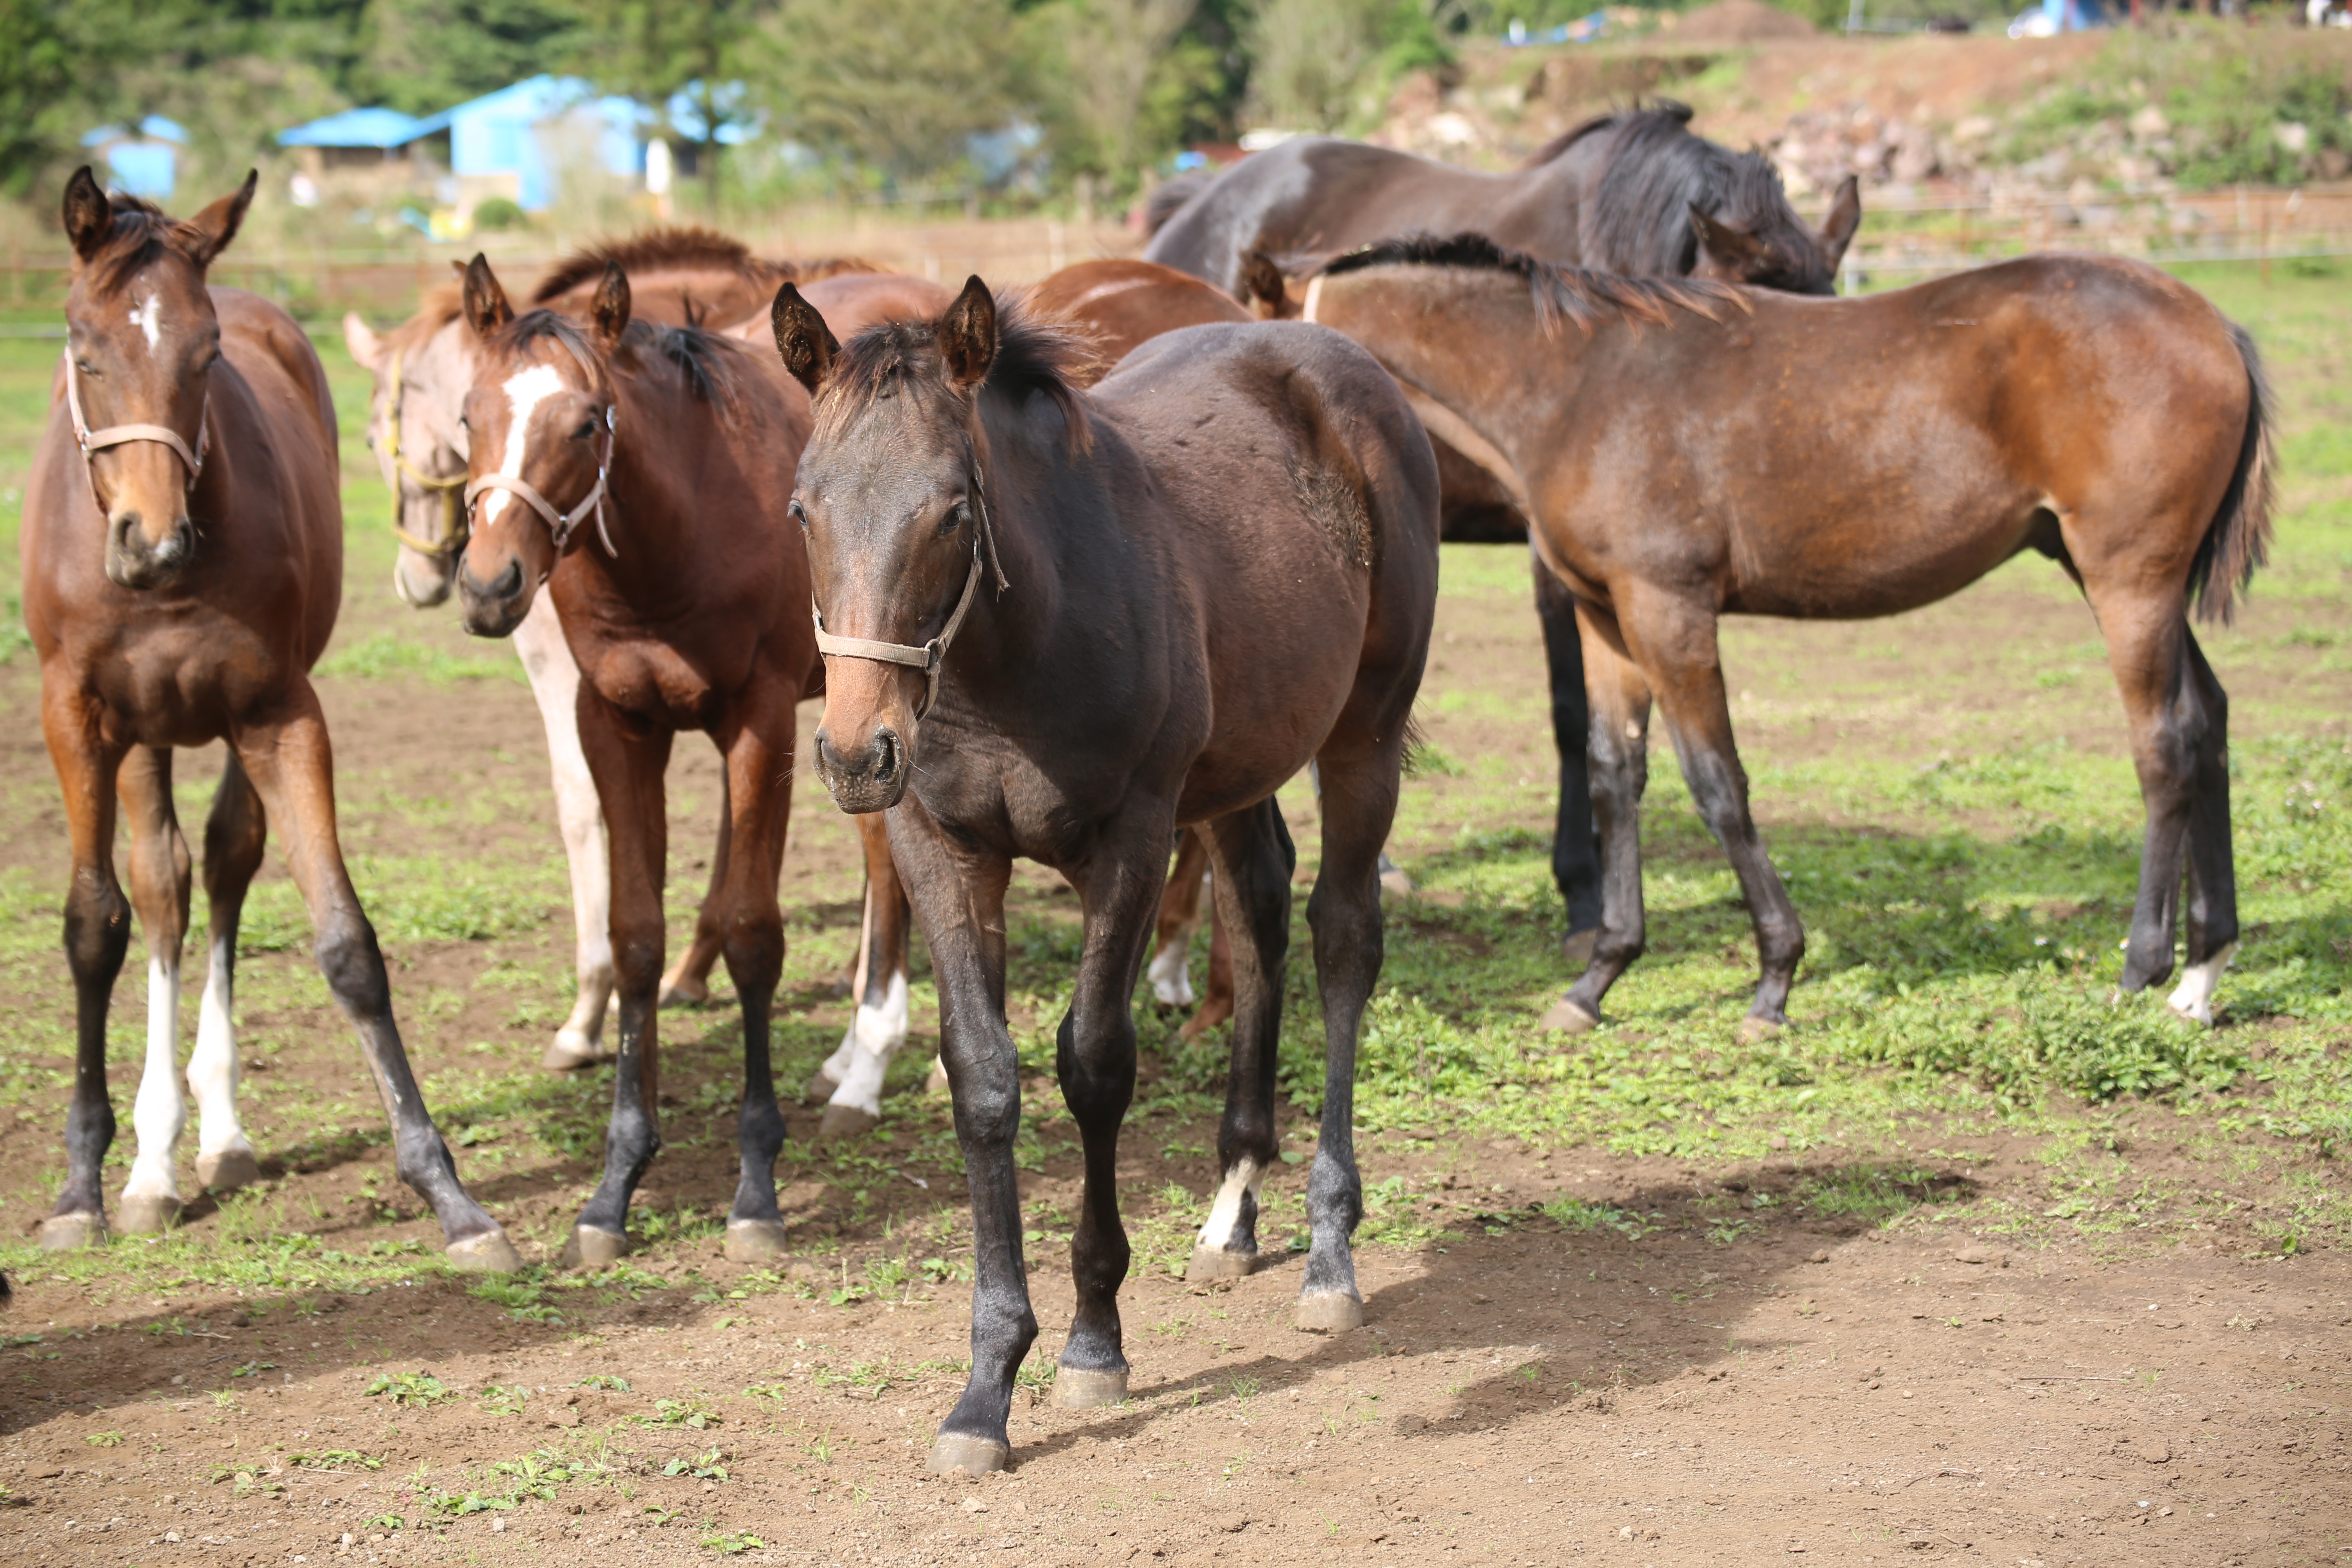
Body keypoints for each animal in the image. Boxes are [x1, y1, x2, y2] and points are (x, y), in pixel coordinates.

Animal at [26, 172, 519, 1278]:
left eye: (207, 352)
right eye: (82, 342)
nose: (153, 541)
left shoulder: (280, 712)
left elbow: (344, 943)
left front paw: (453, 1198)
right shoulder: (76, 716)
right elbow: (94, 925)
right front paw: (82, 1185)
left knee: (218, 862)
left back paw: (216, 1133)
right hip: (143, 732)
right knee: (160, 888)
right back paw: (152, 1164)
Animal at [451, 252, 828, 1260]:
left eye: (586, 422)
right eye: (467, 416)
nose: (489, 586)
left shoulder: (763, 719)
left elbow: (753, 933)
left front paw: (757, 1188)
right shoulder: (617, 721)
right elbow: (633, 935)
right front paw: (615, 1184)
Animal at [771, 278, 1439, 1476]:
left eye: (953, 511)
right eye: (804, 509)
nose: (856, 754)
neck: (1009, 658)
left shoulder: (1129, 839)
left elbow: (1093, 1065)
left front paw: (1092, 1342)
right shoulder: (943, 849)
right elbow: (983, 1078)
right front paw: (986, 1385)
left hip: (1363, 734)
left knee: (1340, 938)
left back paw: (1328, 1252)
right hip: (1237, 768)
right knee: (1258, 916)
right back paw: (1233, 1211)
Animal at [1279, 232, 2267, 1034]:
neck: (1577, 385)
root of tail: (2215, 324)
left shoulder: (1670, 608)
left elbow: (1717, 783)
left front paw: (1774, 981)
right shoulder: (1606, 617)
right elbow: (1614, 778)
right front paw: (1598, 979)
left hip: (2128, 579)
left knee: (2165, 743)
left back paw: (2143, 969)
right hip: (2112, 573)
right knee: (2211, 718)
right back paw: (2203, 974)